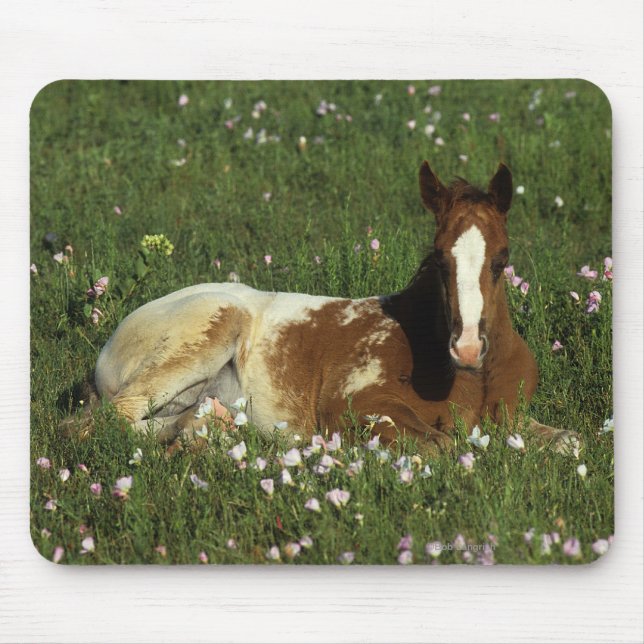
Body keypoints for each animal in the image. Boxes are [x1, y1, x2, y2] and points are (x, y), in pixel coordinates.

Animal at [62, 161, 577, 452]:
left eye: (502, 259)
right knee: (103, 421)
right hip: (211, 327)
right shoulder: (351, 405)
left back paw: (217, 427)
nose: (467, 347)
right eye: (438, 257)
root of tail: (111, 343)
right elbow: (441, 447)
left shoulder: (512, 418)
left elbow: (570, 443)